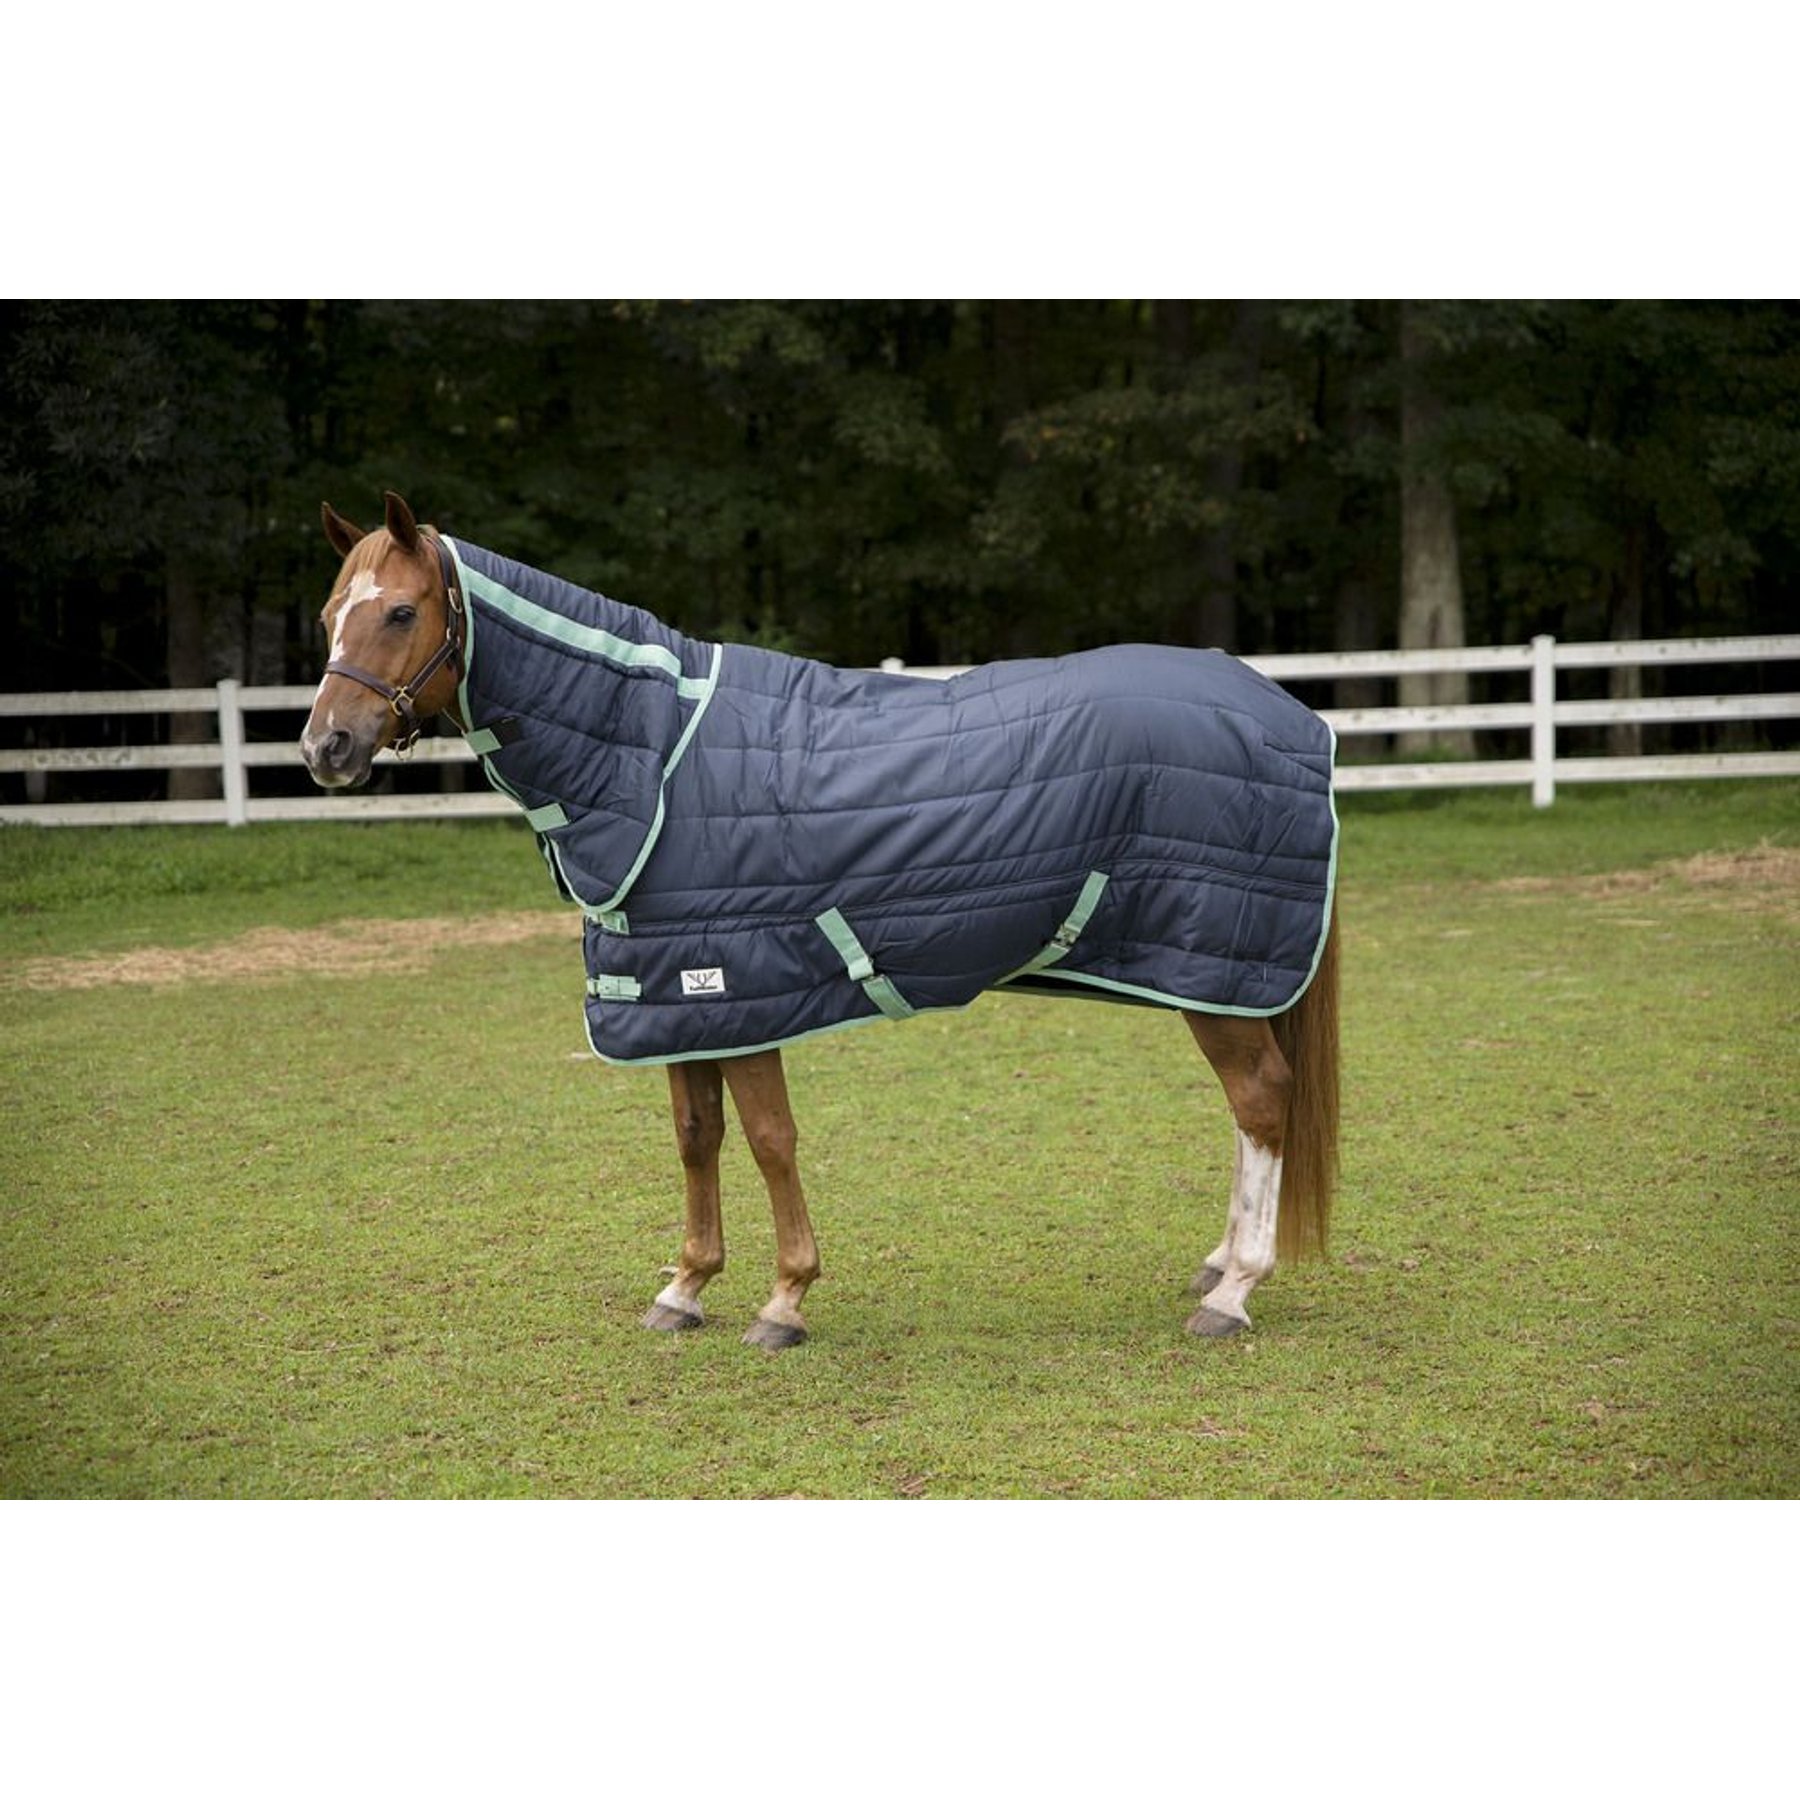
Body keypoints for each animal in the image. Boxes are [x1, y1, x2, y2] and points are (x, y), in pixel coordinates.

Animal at [301, 492, 1341, 1351]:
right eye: (326, 617)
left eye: (401, 612)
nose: (325, 747)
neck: (653, 757)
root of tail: (1293, 715)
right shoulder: (675, 1001)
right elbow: (697, 1137)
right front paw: (686, 1287)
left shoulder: (739, 987)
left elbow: (770, 1139)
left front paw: (785, 1299)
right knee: (1253, 1106)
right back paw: (1219, 1264)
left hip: (1216, 967)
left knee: (1260, 1101)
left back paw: (1235, 1291)